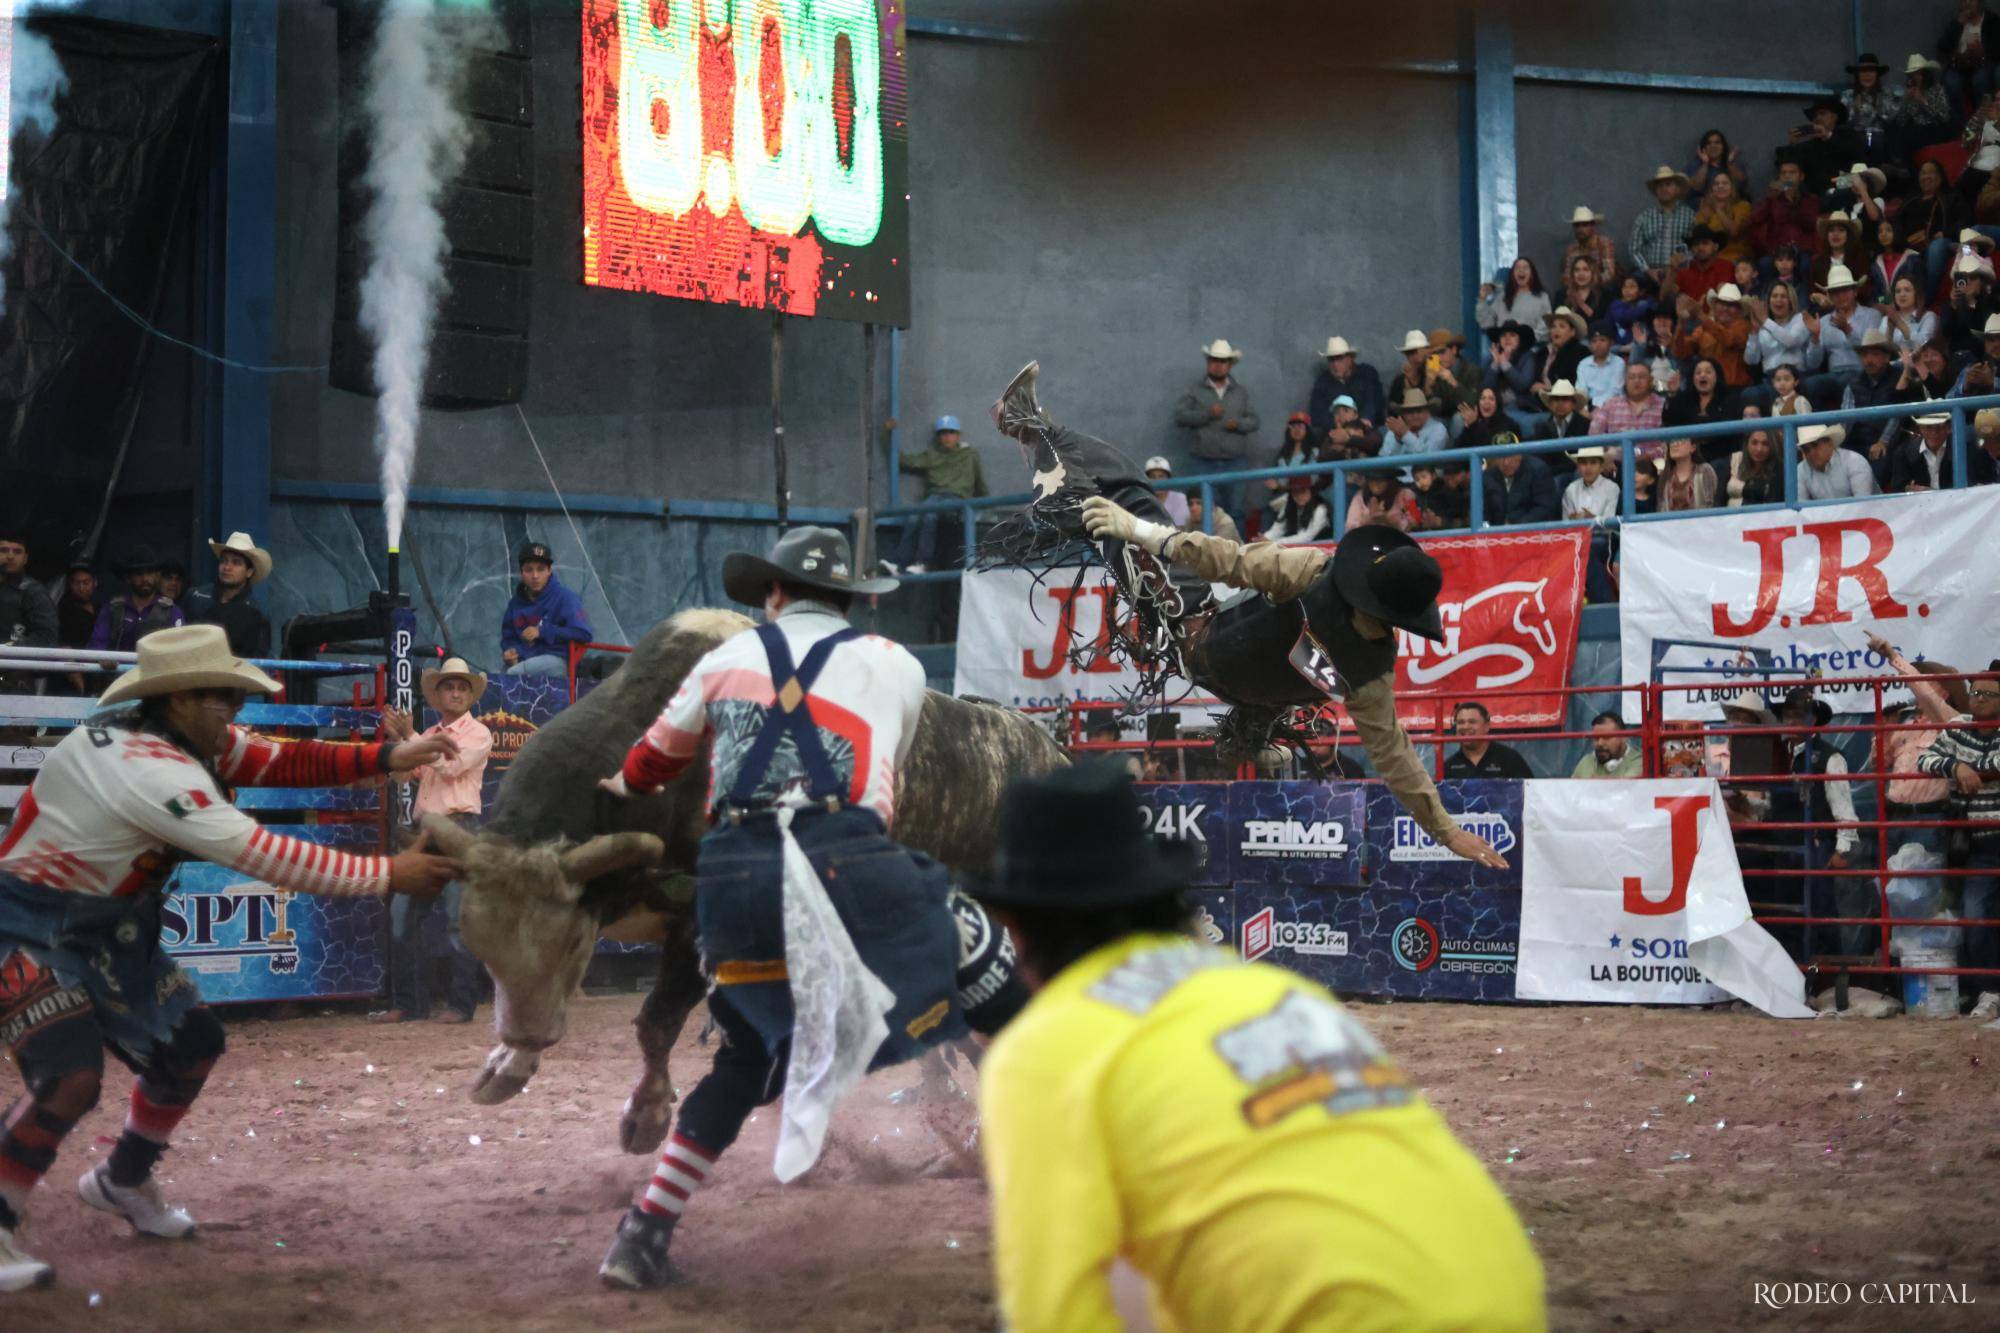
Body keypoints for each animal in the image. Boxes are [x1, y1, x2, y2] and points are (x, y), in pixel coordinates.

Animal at [426, 608, 1064, 1144]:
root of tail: (1049, 749)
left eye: (574, 946)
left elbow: (656, 1023)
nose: (527, 1037)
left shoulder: (699, 926)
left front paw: (647, 1116)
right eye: (483, 949)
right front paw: (506, 1065)